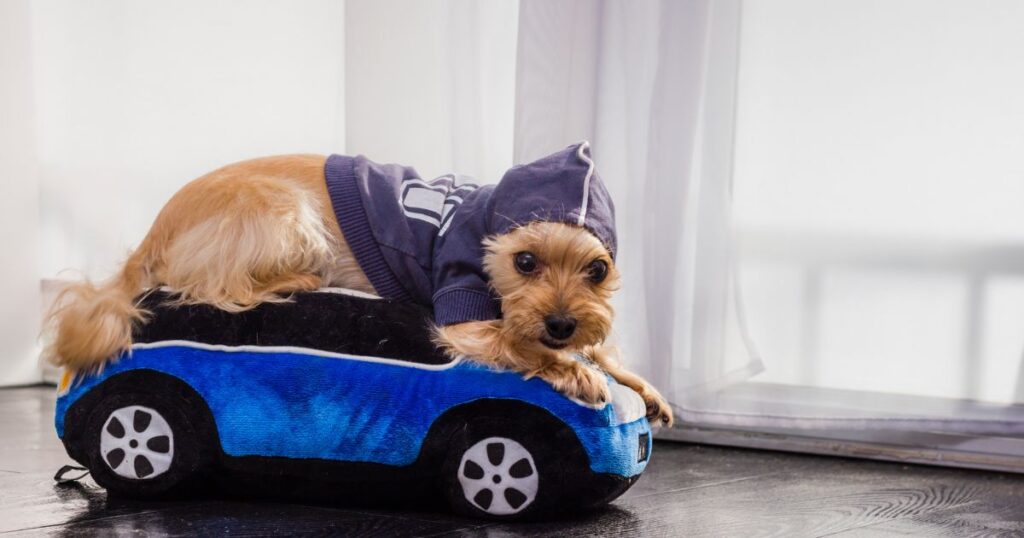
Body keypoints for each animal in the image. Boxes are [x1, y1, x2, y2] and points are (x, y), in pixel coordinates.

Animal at [44, 144, 675, 426]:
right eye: (524, 261)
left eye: (597, 270)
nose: (562, 323)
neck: (486, 223)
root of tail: (154, 232)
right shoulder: (465, 314)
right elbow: (517, 340)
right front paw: (571, 370)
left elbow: (602, 347)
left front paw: (641, 387)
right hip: (286, 213)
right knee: (224, 286)